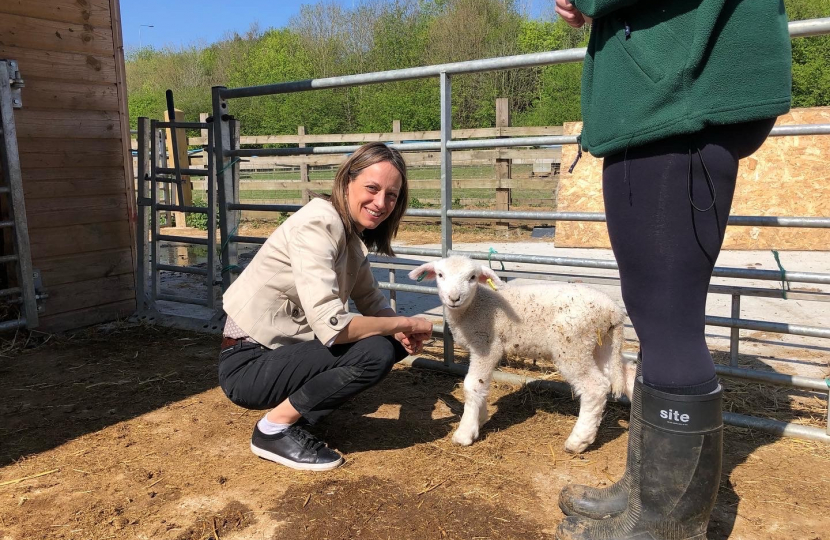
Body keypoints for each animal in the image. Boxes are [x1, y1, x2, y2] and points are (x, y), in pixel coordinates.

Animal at [410, 255, 636, 454]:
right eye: (440, 275)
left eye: (472, 277)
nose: (454, 298)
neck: (475, 306)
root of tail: (613, 310)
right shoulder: (484, 347)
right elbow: (483, 384)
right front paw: (480, 419)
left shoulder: (486, 344)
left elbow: (473, 385)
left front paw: (465, 432)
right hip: (601, 344)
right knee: (627, 373)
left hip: (573, 345)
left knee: (595, 387)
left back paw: (578, 441)